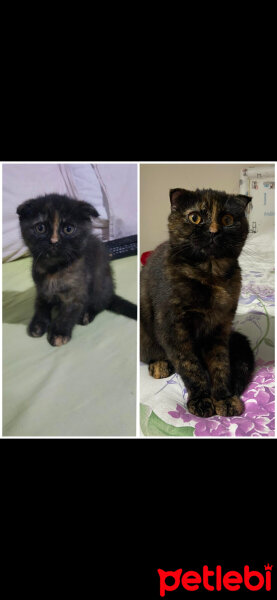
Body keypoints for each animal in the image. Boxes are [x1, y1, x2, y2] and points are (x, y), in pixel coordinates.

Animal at [17, 193, 136, 346]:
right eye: (40, 228)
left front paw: (59, 333)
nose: (54, 241)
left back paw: (87, 315)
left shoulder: (76, 292)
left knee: (100, 304)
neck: (54, 269)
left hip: (100, 284)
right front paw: (38, 324)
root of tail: (111, 292)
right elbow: (40, 306)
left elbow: (67, 314)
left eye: (68, 229)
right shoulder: (41, 290)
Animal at [141, 188, 253, 418]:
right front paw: (201, 399)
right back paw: (159, 365)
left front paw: (224, 398)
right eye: (195, 218)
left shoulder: (220, 328)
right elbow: (191, 367)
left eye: (228, 219)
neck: (211, 275)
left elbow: (220, 364)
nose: (213, 231)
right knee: (151, 353)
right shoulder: (173, 329)